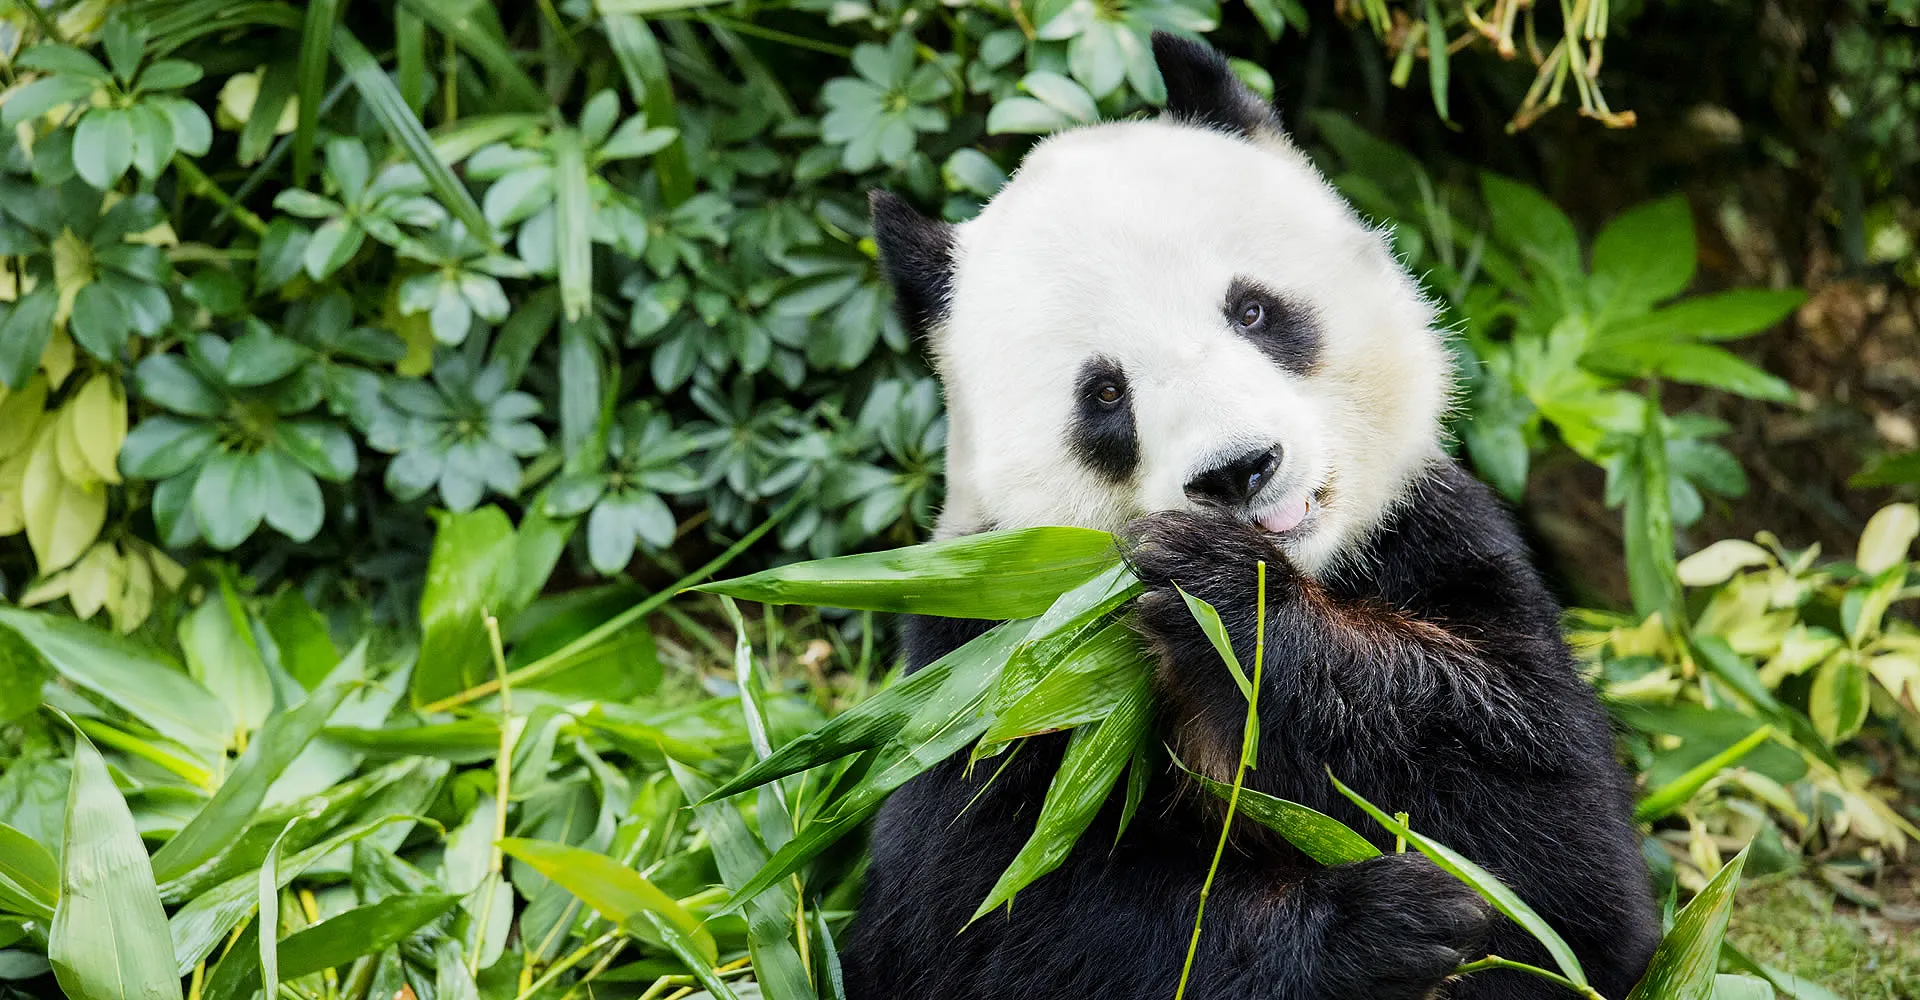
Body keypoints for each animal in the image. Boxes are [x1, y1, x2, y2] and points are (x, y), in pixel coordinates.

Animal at [848, 31, 1658, 998]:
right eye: (1105, 393)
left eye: (1254, 310)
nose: (1238, 470)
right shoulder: (988, 658)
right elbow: (981, 915)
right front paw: (1379, 926)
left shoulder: (1434, 544)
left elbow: (1558, 859)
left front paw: (1226, 599)